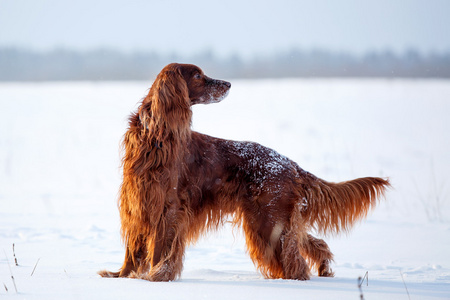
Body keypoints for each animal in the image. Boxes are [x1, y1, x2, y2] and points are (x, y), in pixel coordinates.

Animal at [99, 62, 390, 282]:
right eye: (197, 76)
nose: (228, 84)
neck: (155, 136)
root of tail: (290, 164)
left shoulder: (167, 206)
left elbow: (161, 246)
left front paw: (155, 277)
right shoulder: (136, 202)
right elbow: (132, 249)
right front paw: (121, 276)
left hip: (268, 219)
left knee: (294, 258)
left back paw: (296, 280)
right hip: (272, 218)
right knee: (308, 241)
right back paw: (323, 267)